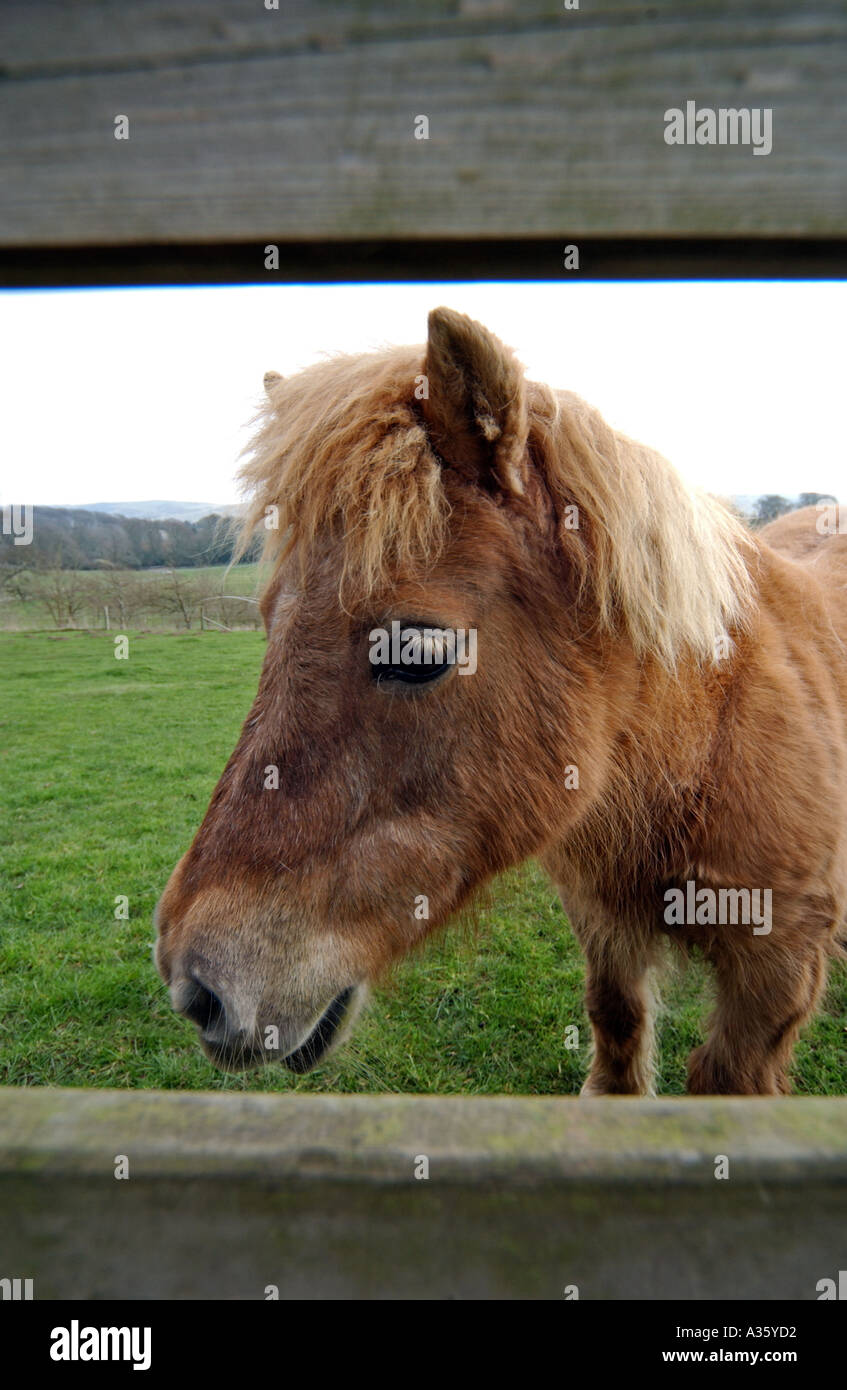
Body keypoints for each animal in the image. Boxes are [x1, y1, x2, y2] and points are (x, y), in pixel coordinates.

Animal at [155, 307, 847, 1094]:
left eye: (417, 651)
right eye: (269, 622)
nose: (195, 989)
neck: (707, 742)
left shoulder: (773, 980)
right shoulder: (603, 925)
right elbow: (616, 1031)